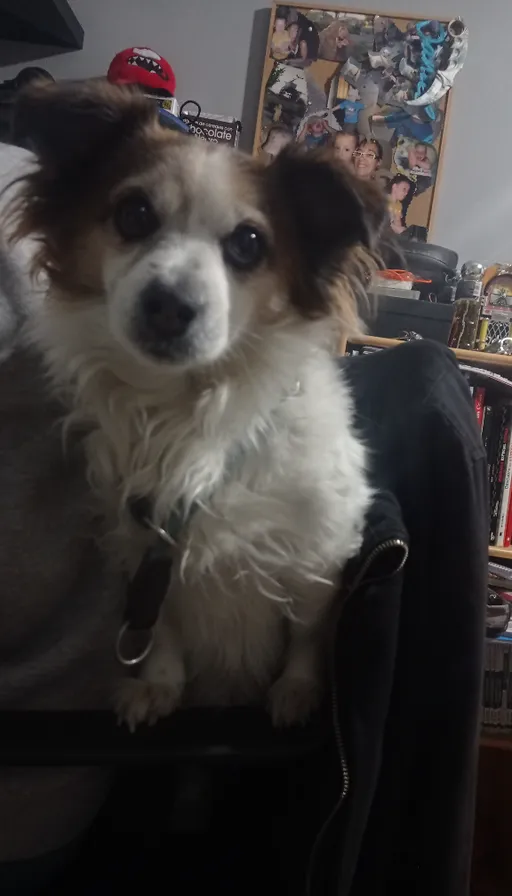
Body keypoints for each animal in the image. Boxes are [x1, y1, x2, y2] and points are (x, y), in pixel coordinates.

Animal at [9, 82, 384, 728]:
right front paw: (158, 686)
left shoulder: (317, 554)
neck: (188, 407)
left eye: (249, 244)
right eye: (134, 214)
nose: (168, 306)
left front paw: (298, 690)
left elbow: (309, 633)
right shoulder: (145, 556)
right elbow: (161, 631)